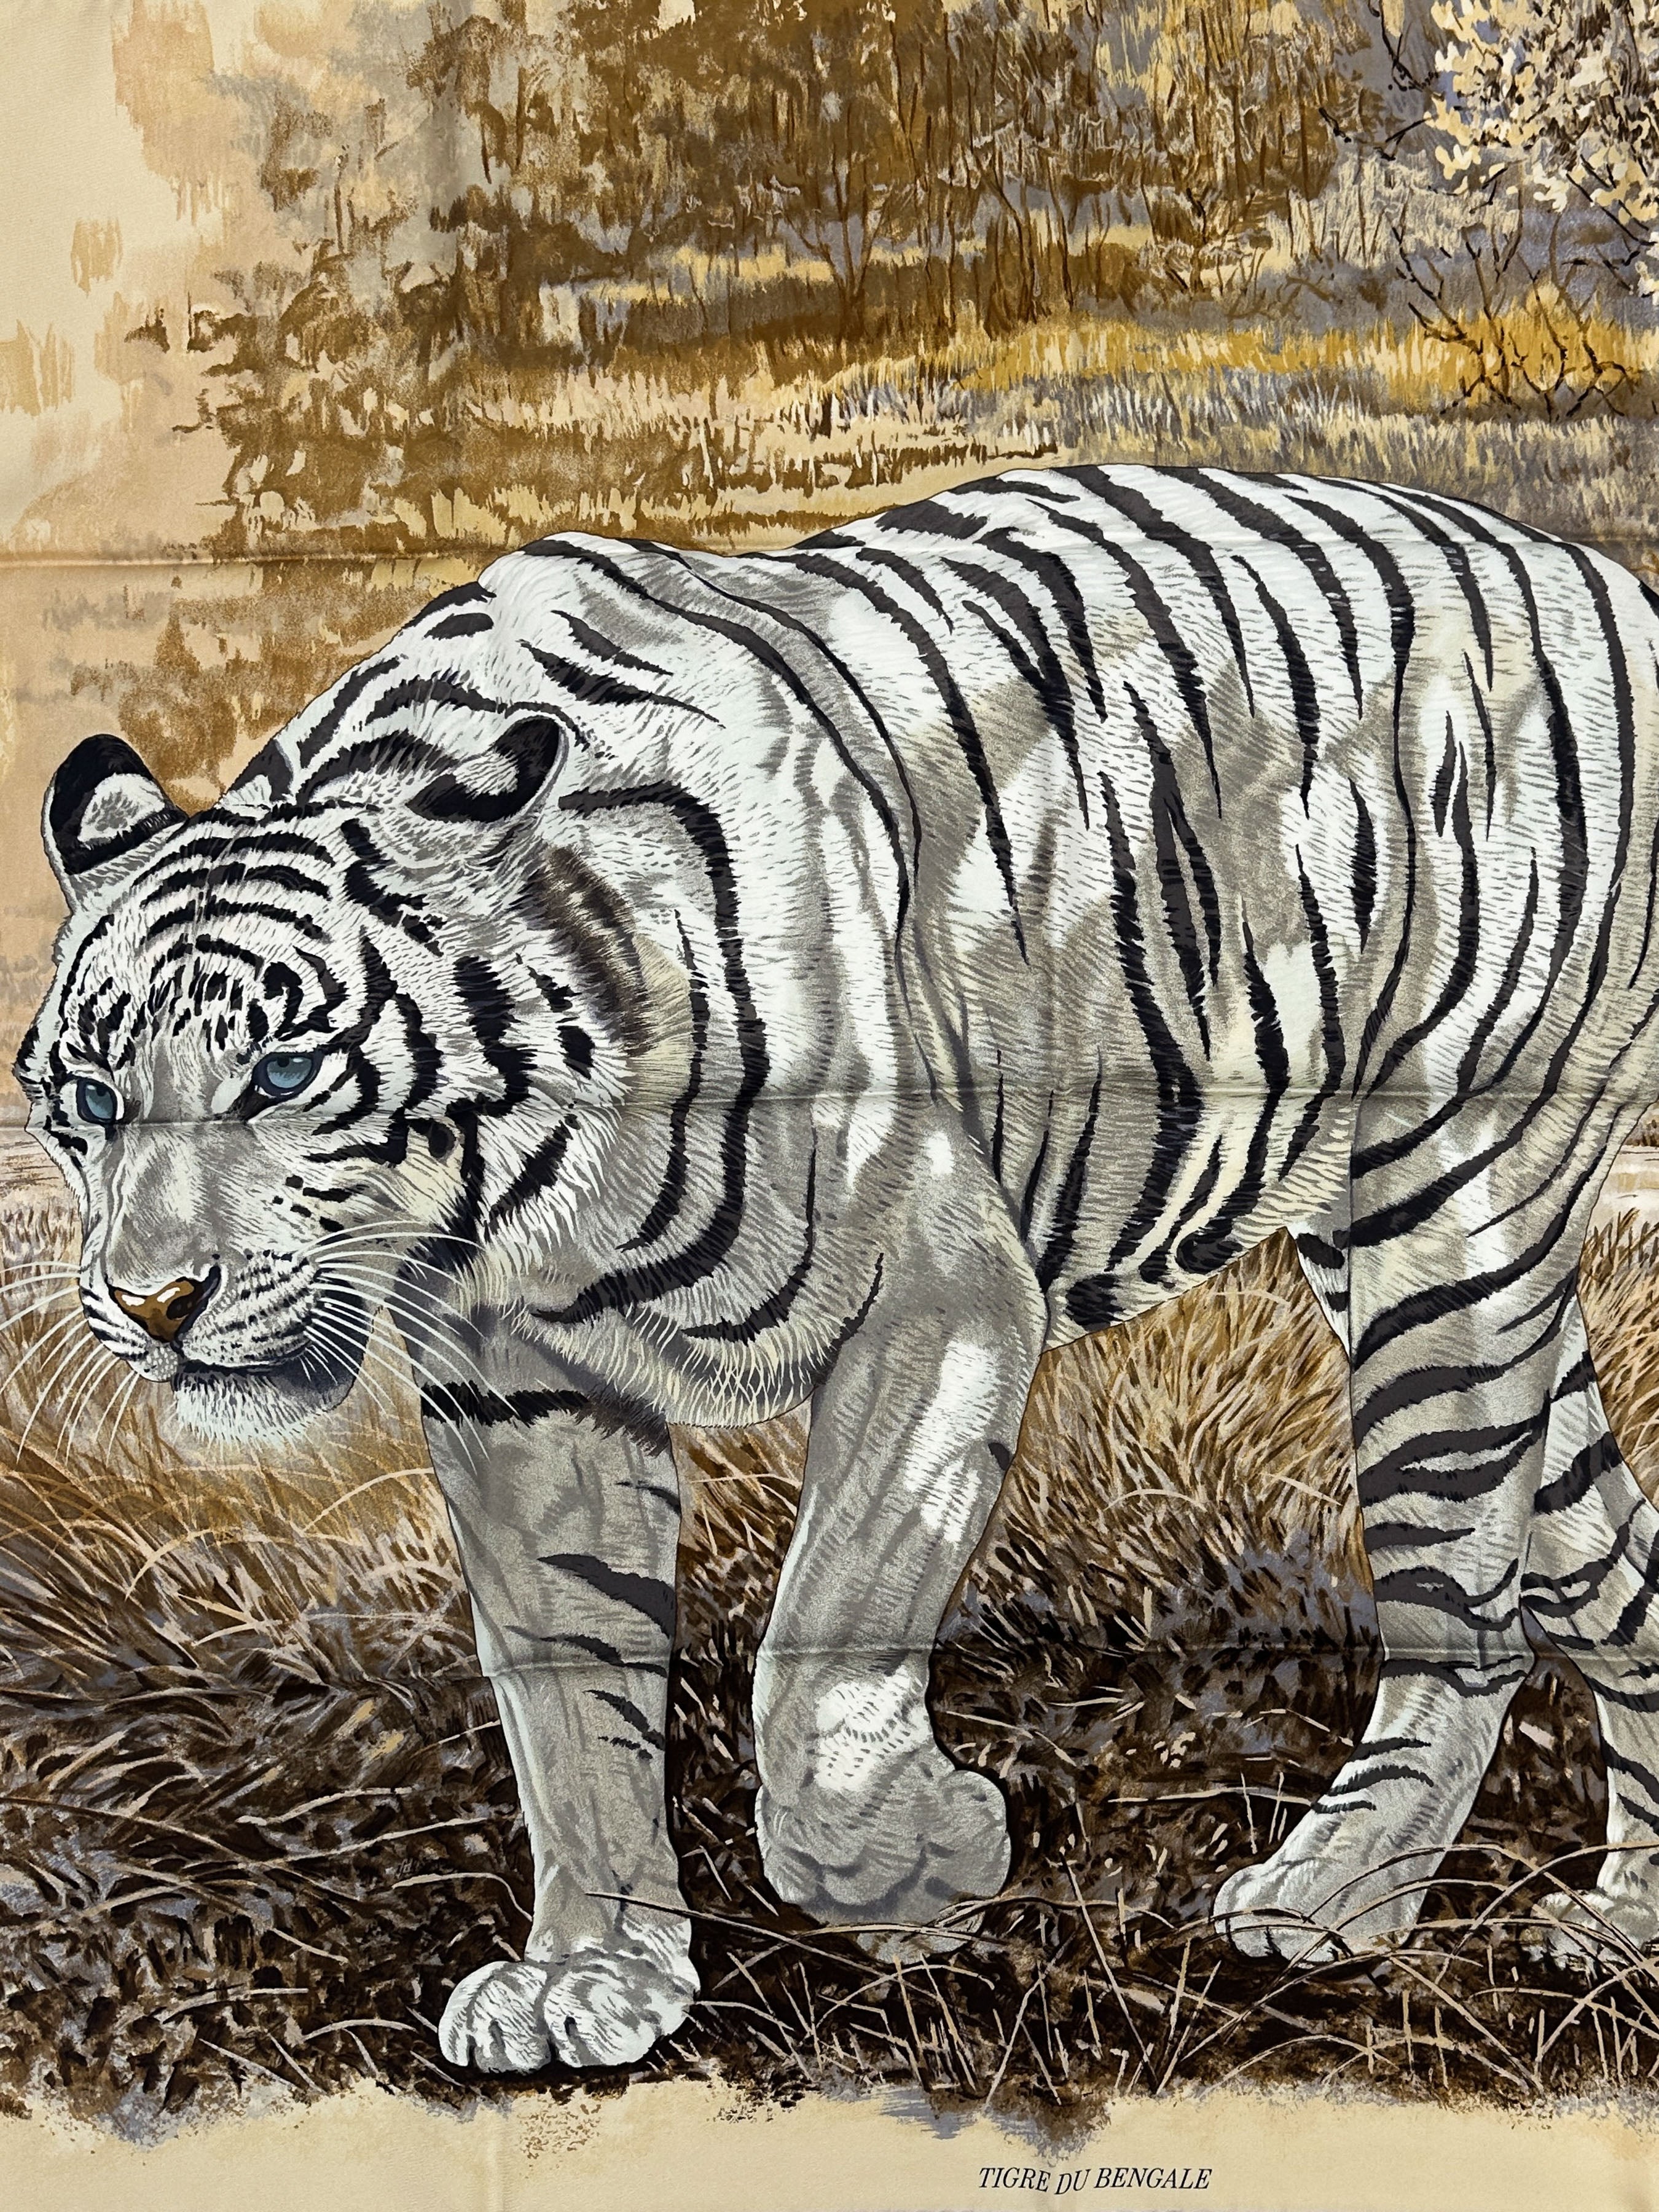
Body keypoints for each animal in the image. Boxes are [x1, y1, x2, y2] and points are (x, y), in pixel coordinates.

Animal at [17, 461, 1659, 2076]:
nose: (155, 1302)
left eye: (284, 1073)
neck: (521, 1193)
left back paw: (1327, 1899)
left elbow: (816, 1659)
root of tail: (1605, 579)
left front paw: (932, 1857)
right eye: (90, 1097)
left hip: (1445, 1221)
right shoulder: (521, 1398)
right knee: (1614, 1571)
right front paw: (596, 1975)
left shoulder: (938, 1297)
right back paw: (1624, 1922)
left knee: (1471, 1607)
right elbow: (571, 1708)